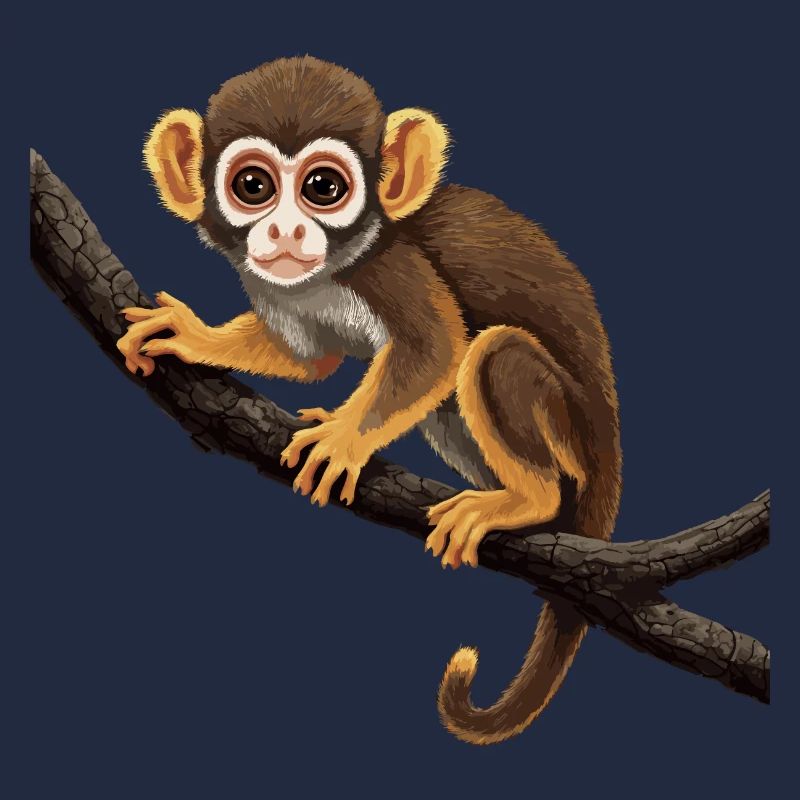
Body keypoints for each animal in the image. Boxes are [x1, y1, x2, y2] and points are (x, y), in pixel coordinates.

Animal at [117, 56, 621, 746]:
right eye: (253, 185)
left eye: (323, 188)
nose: (284, 229)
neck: (338, 264)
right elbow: (309, 358)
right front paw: (193, 338)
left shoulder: (394, 266)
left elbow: (437, 347)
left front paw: (343, 440)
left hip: (572, 433)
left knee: (494, 353)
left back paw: (529, 499)